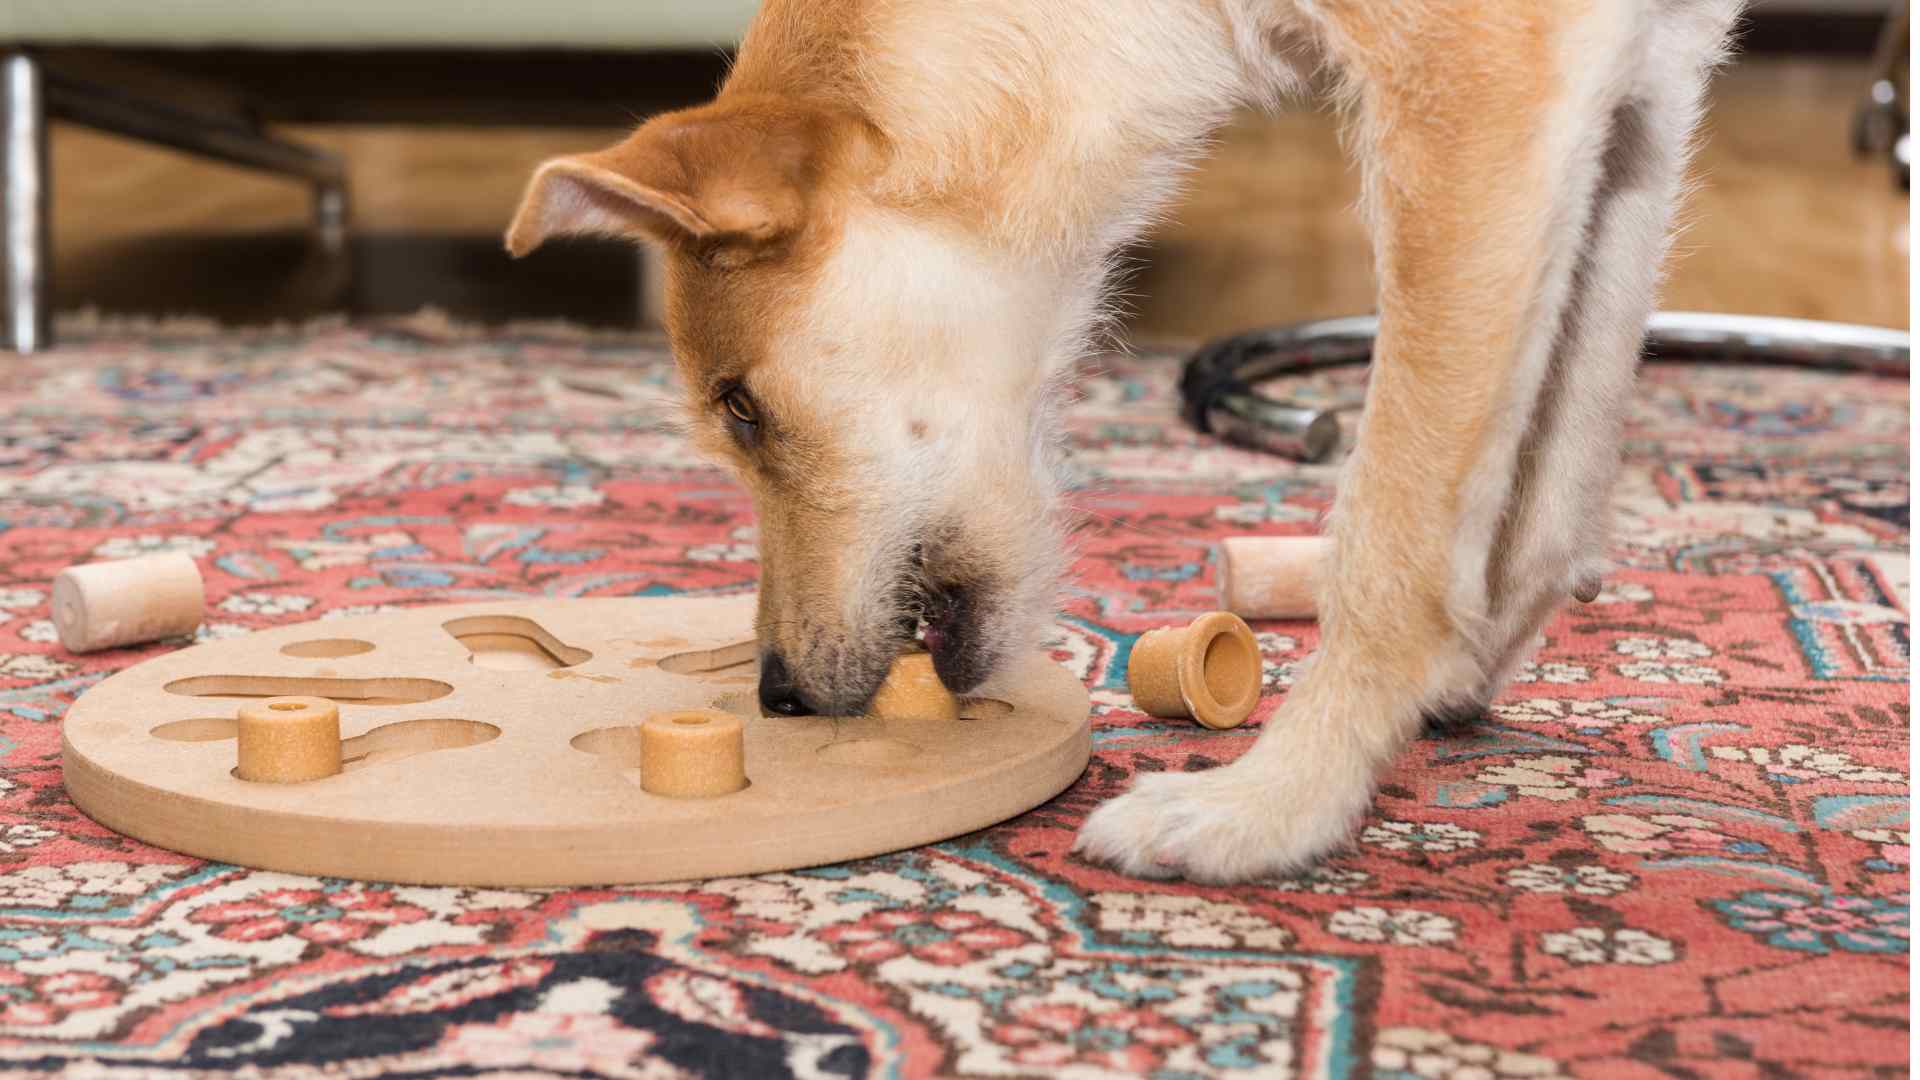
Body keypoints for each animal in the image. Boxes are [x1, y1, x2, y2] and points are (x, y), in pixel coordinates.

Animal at [506, 0, 1743, 880]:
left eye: (742, 407)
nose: (776, 698)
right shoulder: (1631, 86)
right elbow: (1551, 471)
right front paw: (1464, 664)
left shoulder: (1477, 92)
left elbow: (1389, 543)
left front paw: (1280, 803)